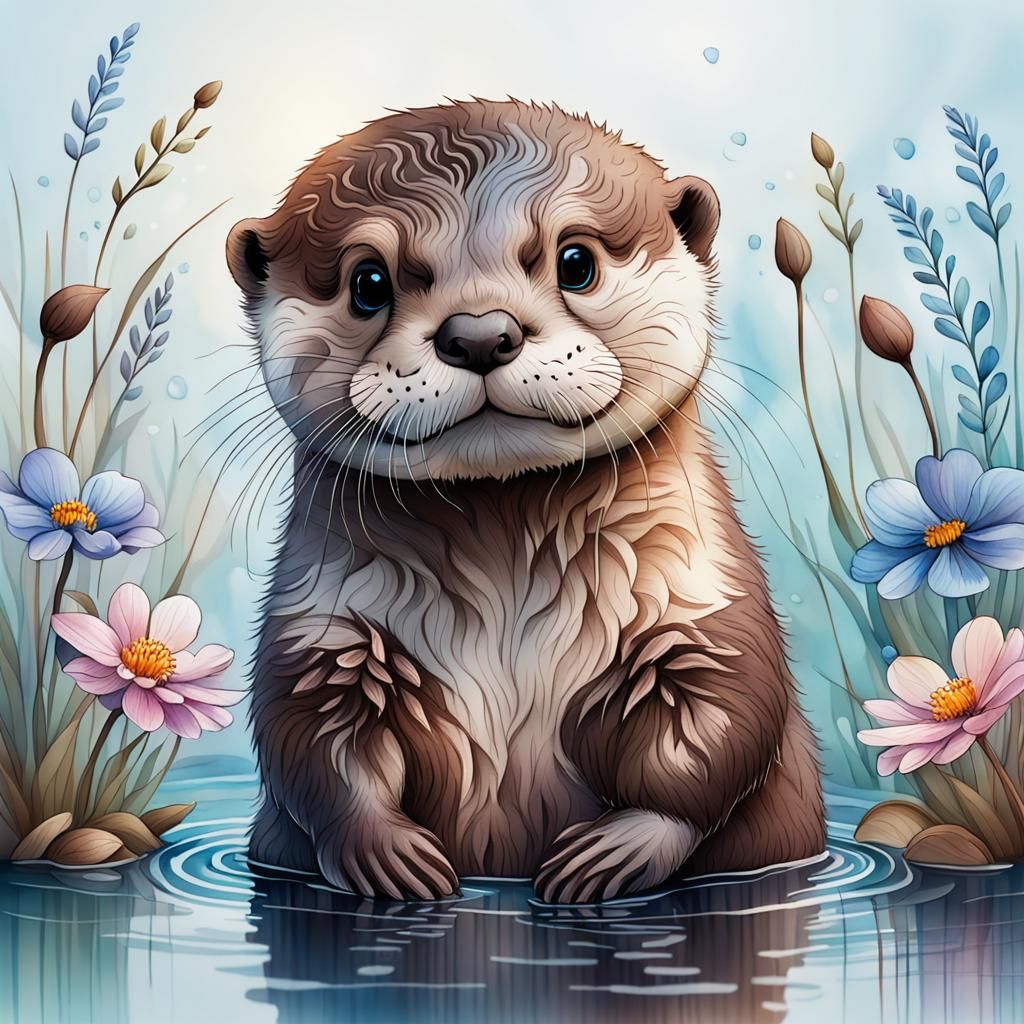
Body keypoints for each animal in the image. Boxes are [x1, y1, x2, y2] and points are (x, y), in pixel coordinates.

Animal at [226, 99, 825, 903]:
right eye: (368, 281)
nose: (481, 333)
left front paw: (617, 850)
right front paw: (385, 852)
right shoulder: (325, 627)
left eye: (576, 261)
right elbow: (311, 737)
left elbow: (721, 723)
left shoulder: (699, 603)